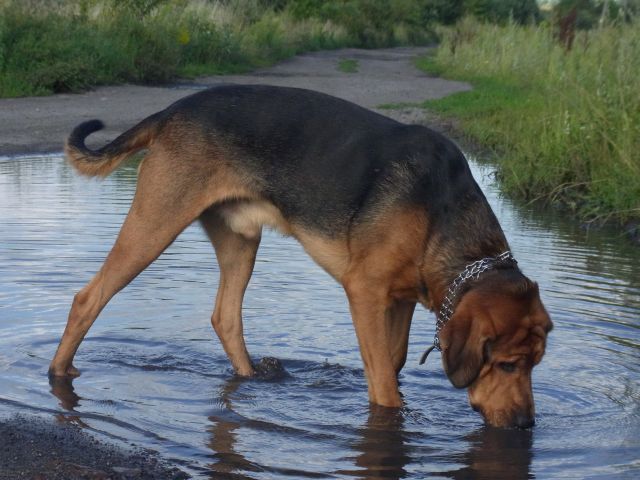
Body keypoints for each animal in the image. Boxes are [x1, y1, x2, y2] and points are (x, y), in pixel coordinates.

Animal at [48, 85, 552, 428]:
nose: (526, 425)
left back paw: (252, 377)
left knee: (225, 317)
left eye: (535, 364)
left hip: (240, 239)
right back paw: (58, 372)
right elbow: (383, 383)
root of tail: (173, 110)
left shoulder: (402, 300)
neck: (442, 211)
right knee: (89, 297)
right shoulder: (364, 293)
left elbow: (393, 361)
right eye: (507, 364)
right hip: (155, 224)